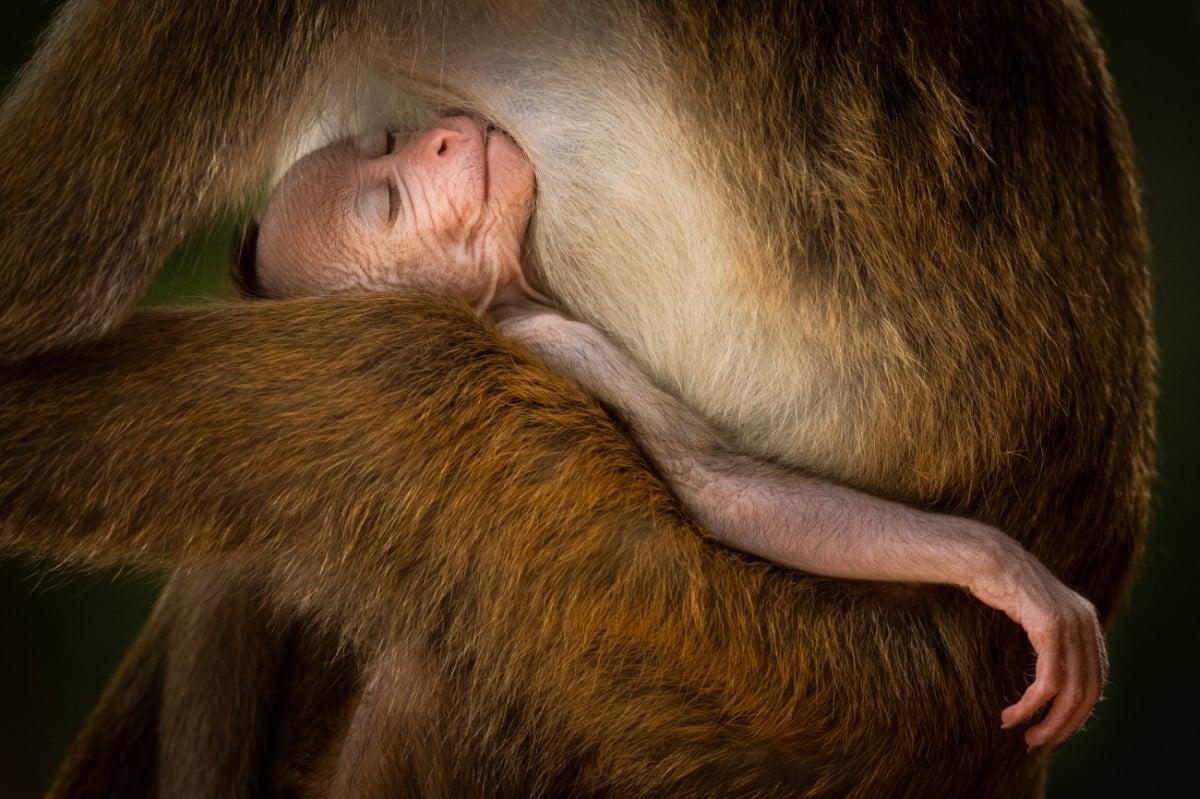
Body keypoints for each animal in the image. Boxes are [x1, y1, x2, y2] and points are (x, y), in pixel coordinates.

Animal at [250, 115, 1104, 743]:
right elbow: (713, 489)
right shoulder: (568, 342)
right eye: (389, 208)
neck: (503, 304)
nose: (438, 138)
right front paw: (1001, 568)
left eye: (386, 145)